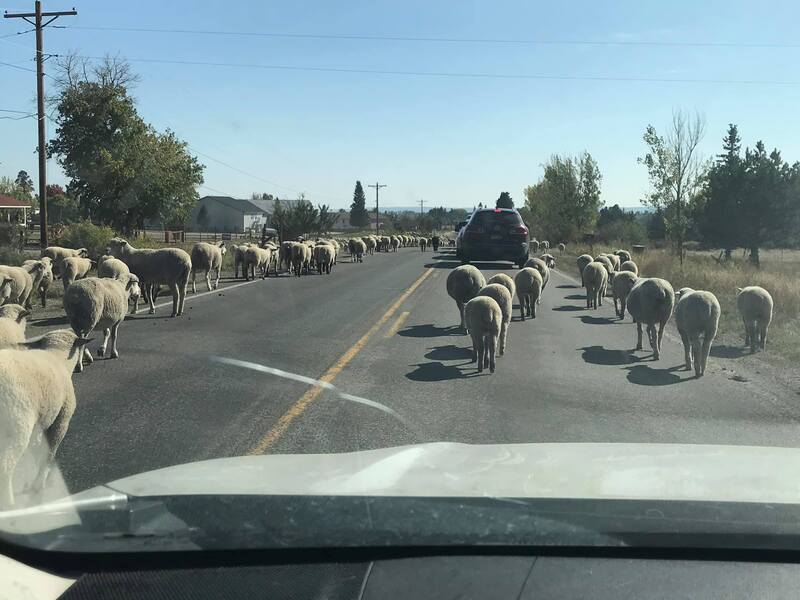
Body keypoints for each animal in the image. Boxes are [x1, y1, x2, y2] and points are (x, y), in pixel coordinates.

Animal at [0, 329, 91, 507]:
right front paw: (40, 482)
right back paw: (10, 505)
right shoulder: (61, 419)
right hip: (16, 427)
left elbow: (39, 451)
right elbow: (50, 450)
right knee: (5, 468)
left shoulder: (41, 422)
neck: (57, 357)